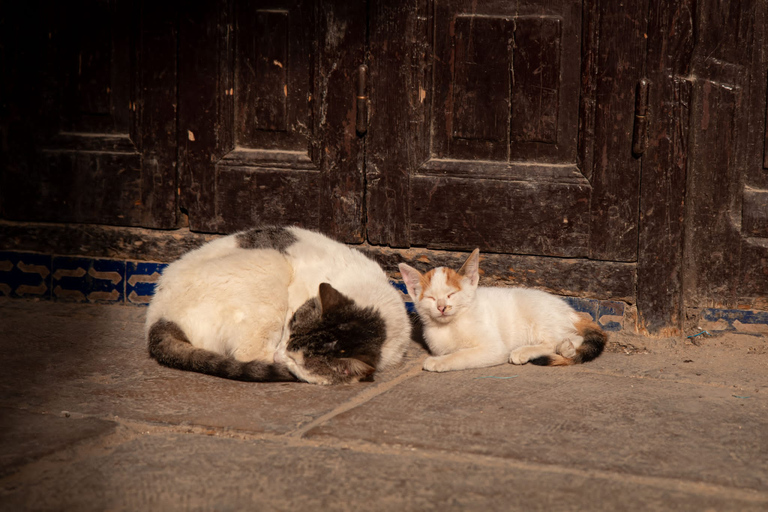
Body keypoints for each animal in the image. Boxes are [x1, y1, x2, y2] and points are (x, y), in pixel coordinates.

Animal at [149, 225, 414, 384]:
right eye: (289, 329)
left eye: (297, 360)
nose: (279, 357)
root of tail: (157, 316)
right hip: (270, 260)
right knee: (246, 354)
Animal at [396, 249, 608, 372]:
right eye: (431, 298)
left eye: (451, 294)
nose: (441, 307)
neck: (451, 325)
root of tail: (571, 311)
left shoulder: (494, 349)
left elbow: (462, 355)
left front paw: (438, 362)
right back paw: (565, 348)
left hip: (538, 313)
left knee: (567, 338)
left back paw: (530, 351)